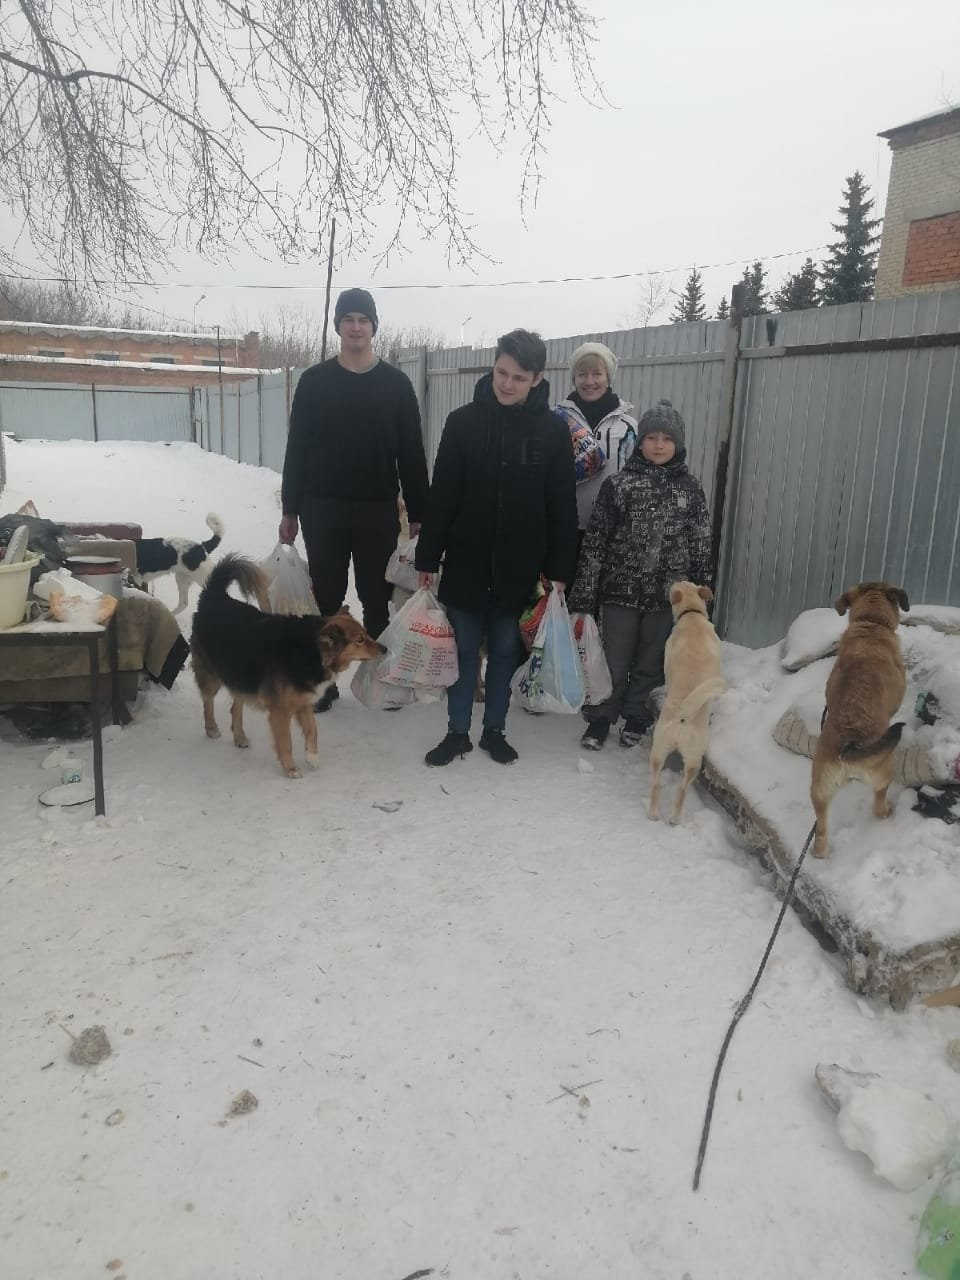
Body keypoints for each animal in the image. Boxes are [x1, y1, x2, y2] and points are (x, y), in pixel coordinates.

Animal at [191, 554, 386, 777]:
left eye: (366, 634)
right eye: (360, 640)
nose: (385, 649)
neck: (311, 651)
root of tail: (214, 596)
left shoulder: (304, 702)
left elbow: (312, 729)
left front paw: (312, 756)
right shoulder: (280, 711)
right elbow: (286, 742)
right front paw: (290, 768)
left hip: (242, 674)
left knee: (235, 707)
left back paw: (239, 737)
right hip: (212, 677)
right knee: (208, 702)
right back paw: (211, 728)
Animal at [648, 582, 726, 824]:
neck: (692, 614)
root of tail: (683, 718)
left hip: (658, 751)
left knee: (655, 784)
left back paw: (654, 814)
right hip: (694, 760)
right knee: (682, 789)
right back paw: (674, 819)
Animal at [811, 580, 909, 857]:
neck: (871, 623)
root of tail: (849, 745)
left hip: (819, 791)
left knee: (821, 830)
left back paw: (820, 852)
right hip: (884, 770)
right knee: (878, 804)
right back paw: (887, 812)